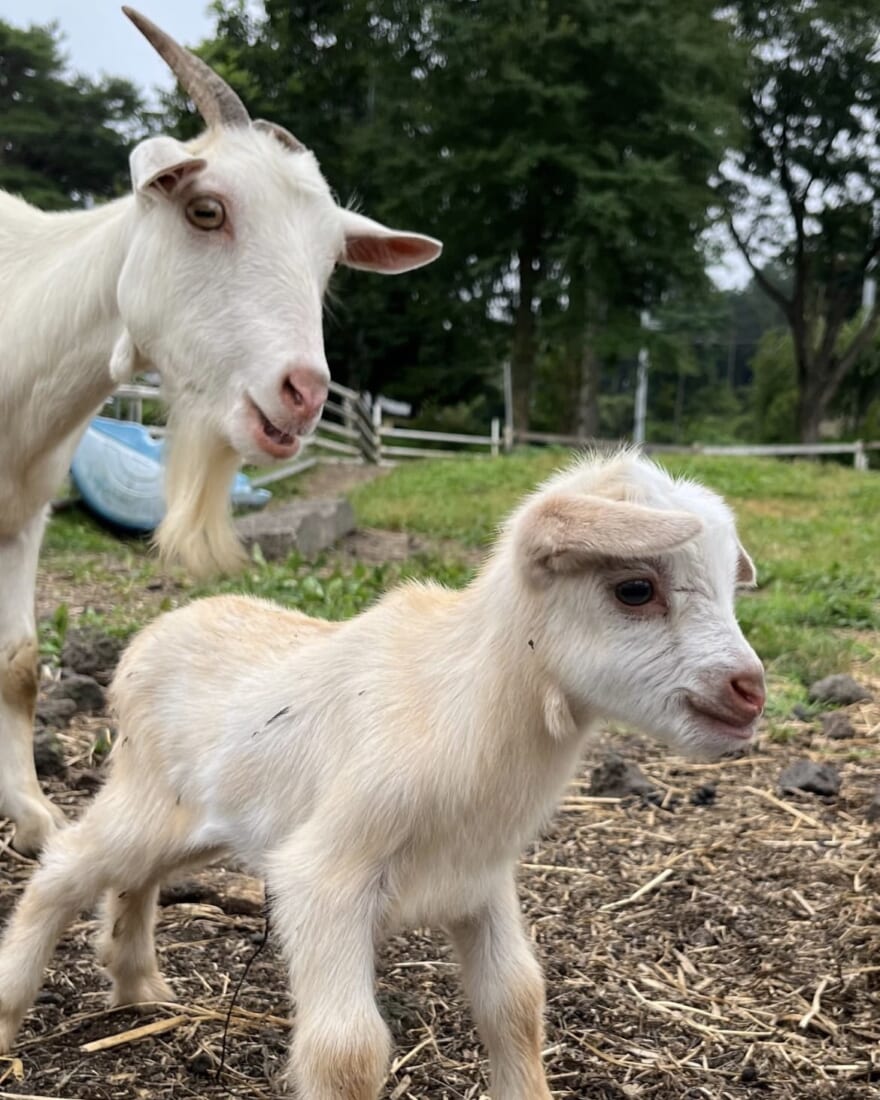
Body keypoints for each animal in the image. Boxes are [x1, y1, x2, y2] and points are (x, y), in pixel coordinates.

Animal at [0, 8, 440, 858]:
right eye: (206, 209)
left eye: (331, 259)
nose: (303, 392)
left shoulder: (26, 509)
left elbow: (20, 662)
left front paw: (34, 817)